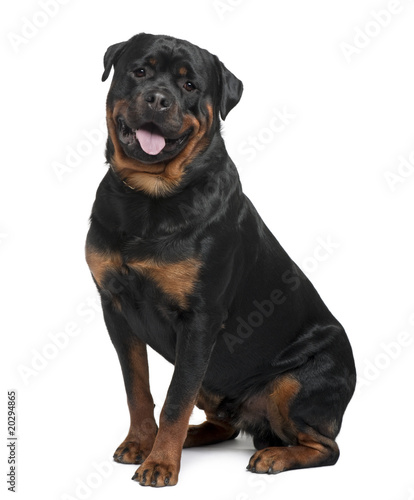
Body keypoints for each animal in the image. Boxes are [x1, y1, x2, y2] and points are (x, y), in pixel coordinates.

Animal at [85, 33, 356, 486]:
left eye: (190, 86)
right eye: (139, 71)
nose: (158, 98)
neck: (151, 197)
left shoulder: (200, 319)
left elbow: (175, 399)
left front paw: (160, 463)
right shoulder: (115, 308)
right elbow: (137, 388)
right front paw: (142, 442)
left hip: (293, 383)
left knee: (326, 447)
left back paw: (274, 456)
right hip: (214, 380)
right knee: (223, 424)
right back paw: (188, 437)